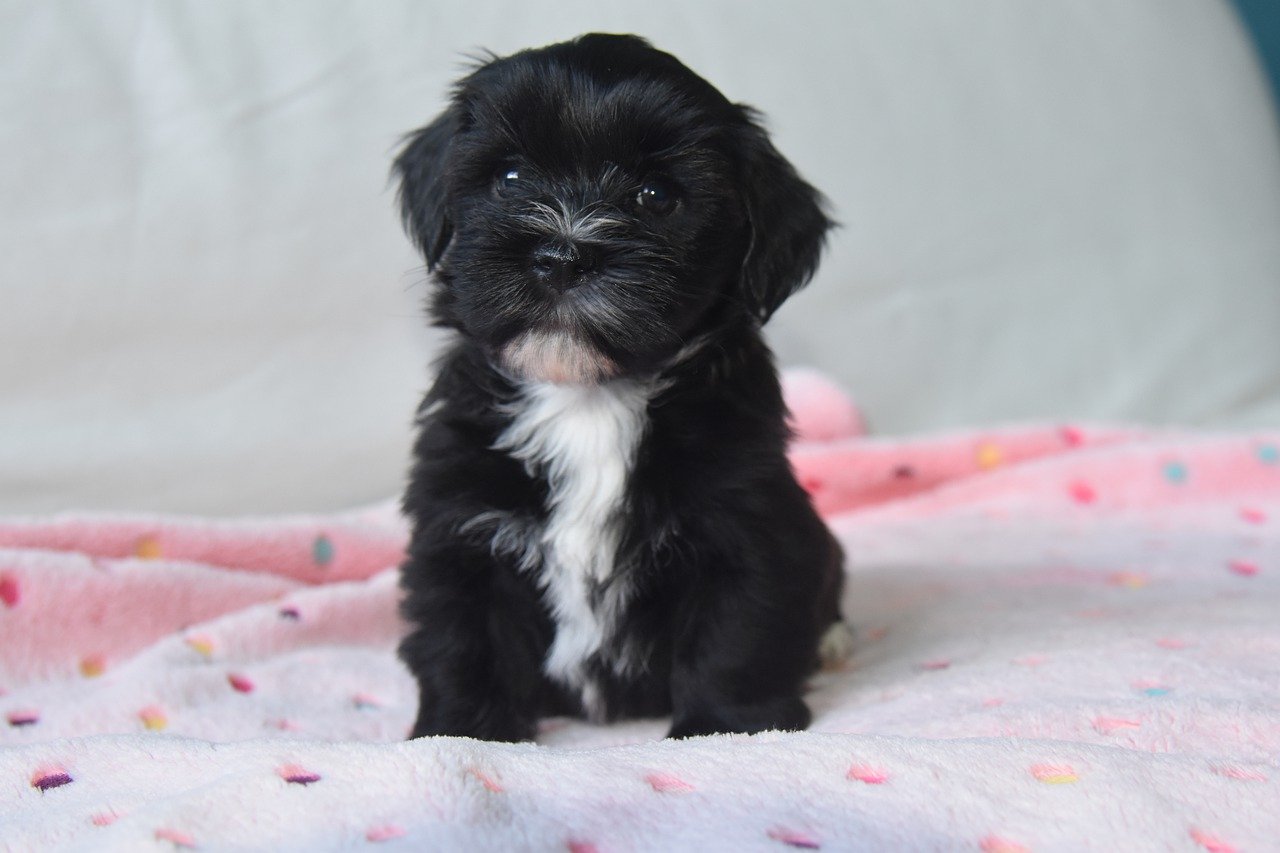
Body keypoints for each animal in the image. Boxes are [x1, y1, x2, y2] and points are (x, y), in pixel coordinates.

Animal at [394, 33, 844, 737]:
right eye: (509, 178)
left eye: (655, 196)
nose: (561, 255)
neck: (590, 396)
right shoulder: (459, 522)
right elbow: (464, 635)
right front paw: (462, 731)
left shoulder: (745, 521)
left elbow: (737, 631)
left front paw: (725, 729)